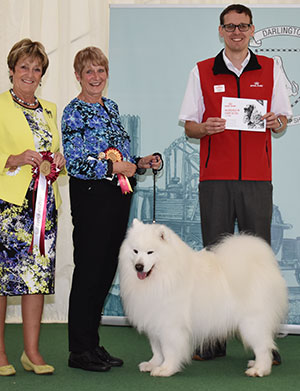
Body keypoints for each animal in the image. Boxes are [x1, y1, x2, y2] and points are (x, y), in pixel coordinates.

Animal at [118, 219, 288, 378]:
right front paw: (153, 364)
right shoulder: (154, 321)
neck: (165, 275)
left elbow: (169, 350)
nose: (138, 267)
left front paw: (166, 369)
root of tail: (264, 265)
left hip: (252, 323)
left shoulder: (171, 325)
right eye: (135, 251)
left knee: (263, 347)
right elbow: (157, 349)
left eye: (150, 252)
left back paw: (259, 369)